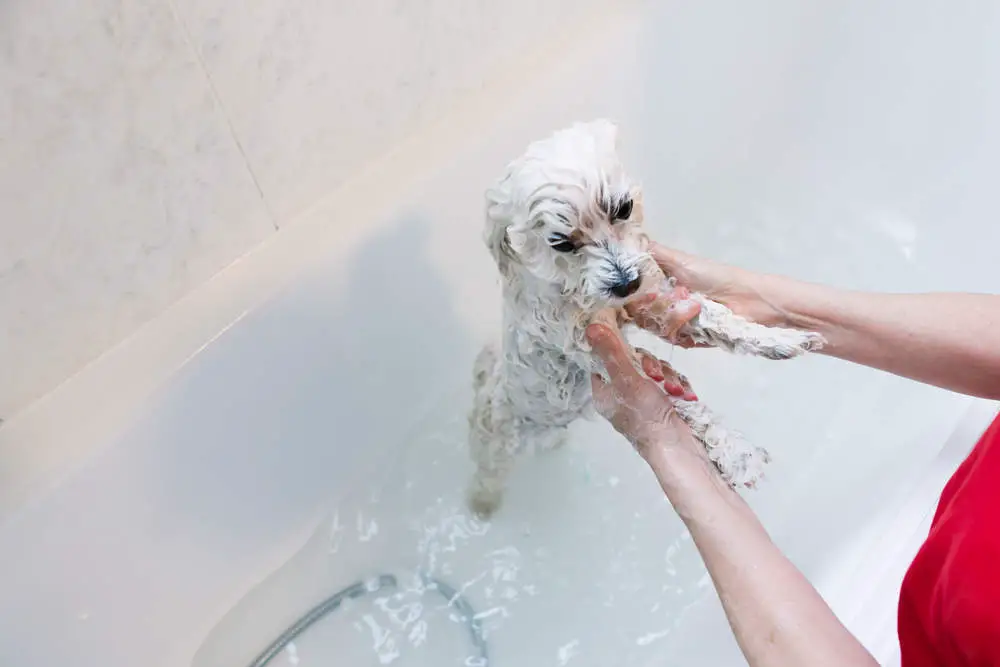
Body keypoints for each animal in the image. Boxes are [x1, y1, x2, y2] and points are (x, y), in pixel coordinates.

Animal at [464, 121, 824, 516]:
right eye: (560, 242)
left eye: (622, 208)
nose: (626, 283)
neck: (574, 288)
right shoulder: (596, 351)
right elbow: (672, 399)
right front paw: (737, 454)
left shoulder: (651, 297)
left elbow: (713, 317)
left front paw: (779, 339)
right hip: (497, 436)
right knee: (488, 470)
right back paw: (482, 504)